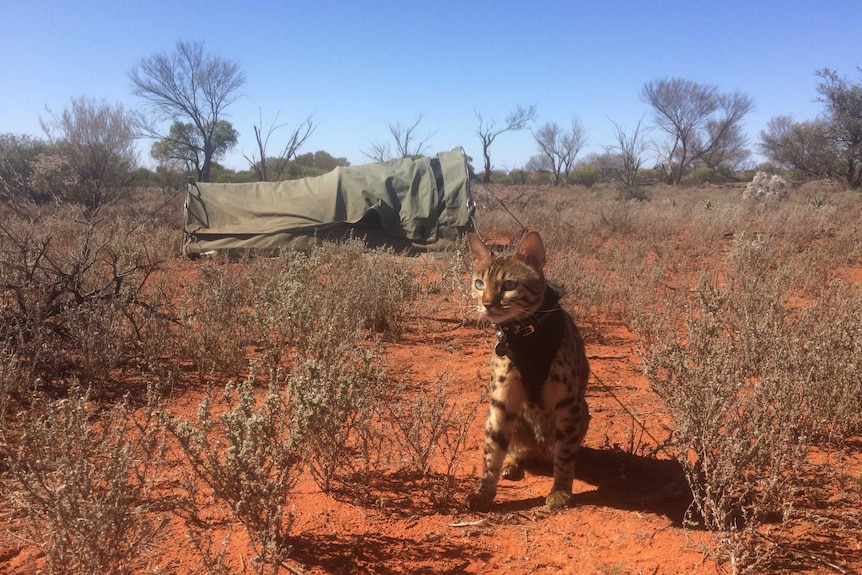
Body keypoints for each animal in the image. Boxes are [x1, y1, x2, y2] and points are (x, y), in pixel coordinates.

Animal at [466, 232, 592, 510]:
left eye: (509, 284)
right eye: (479, 283)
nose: (486, 304)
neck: (525, 332)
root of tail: (537, 451)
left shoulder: (568, 399)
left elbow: (565, 453)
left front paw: (561, 492)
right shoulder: (502, 396)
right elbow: (492, 448)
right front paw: (483, 494)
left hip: (583, 412)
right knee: (512, 448)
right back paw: (510, 464)